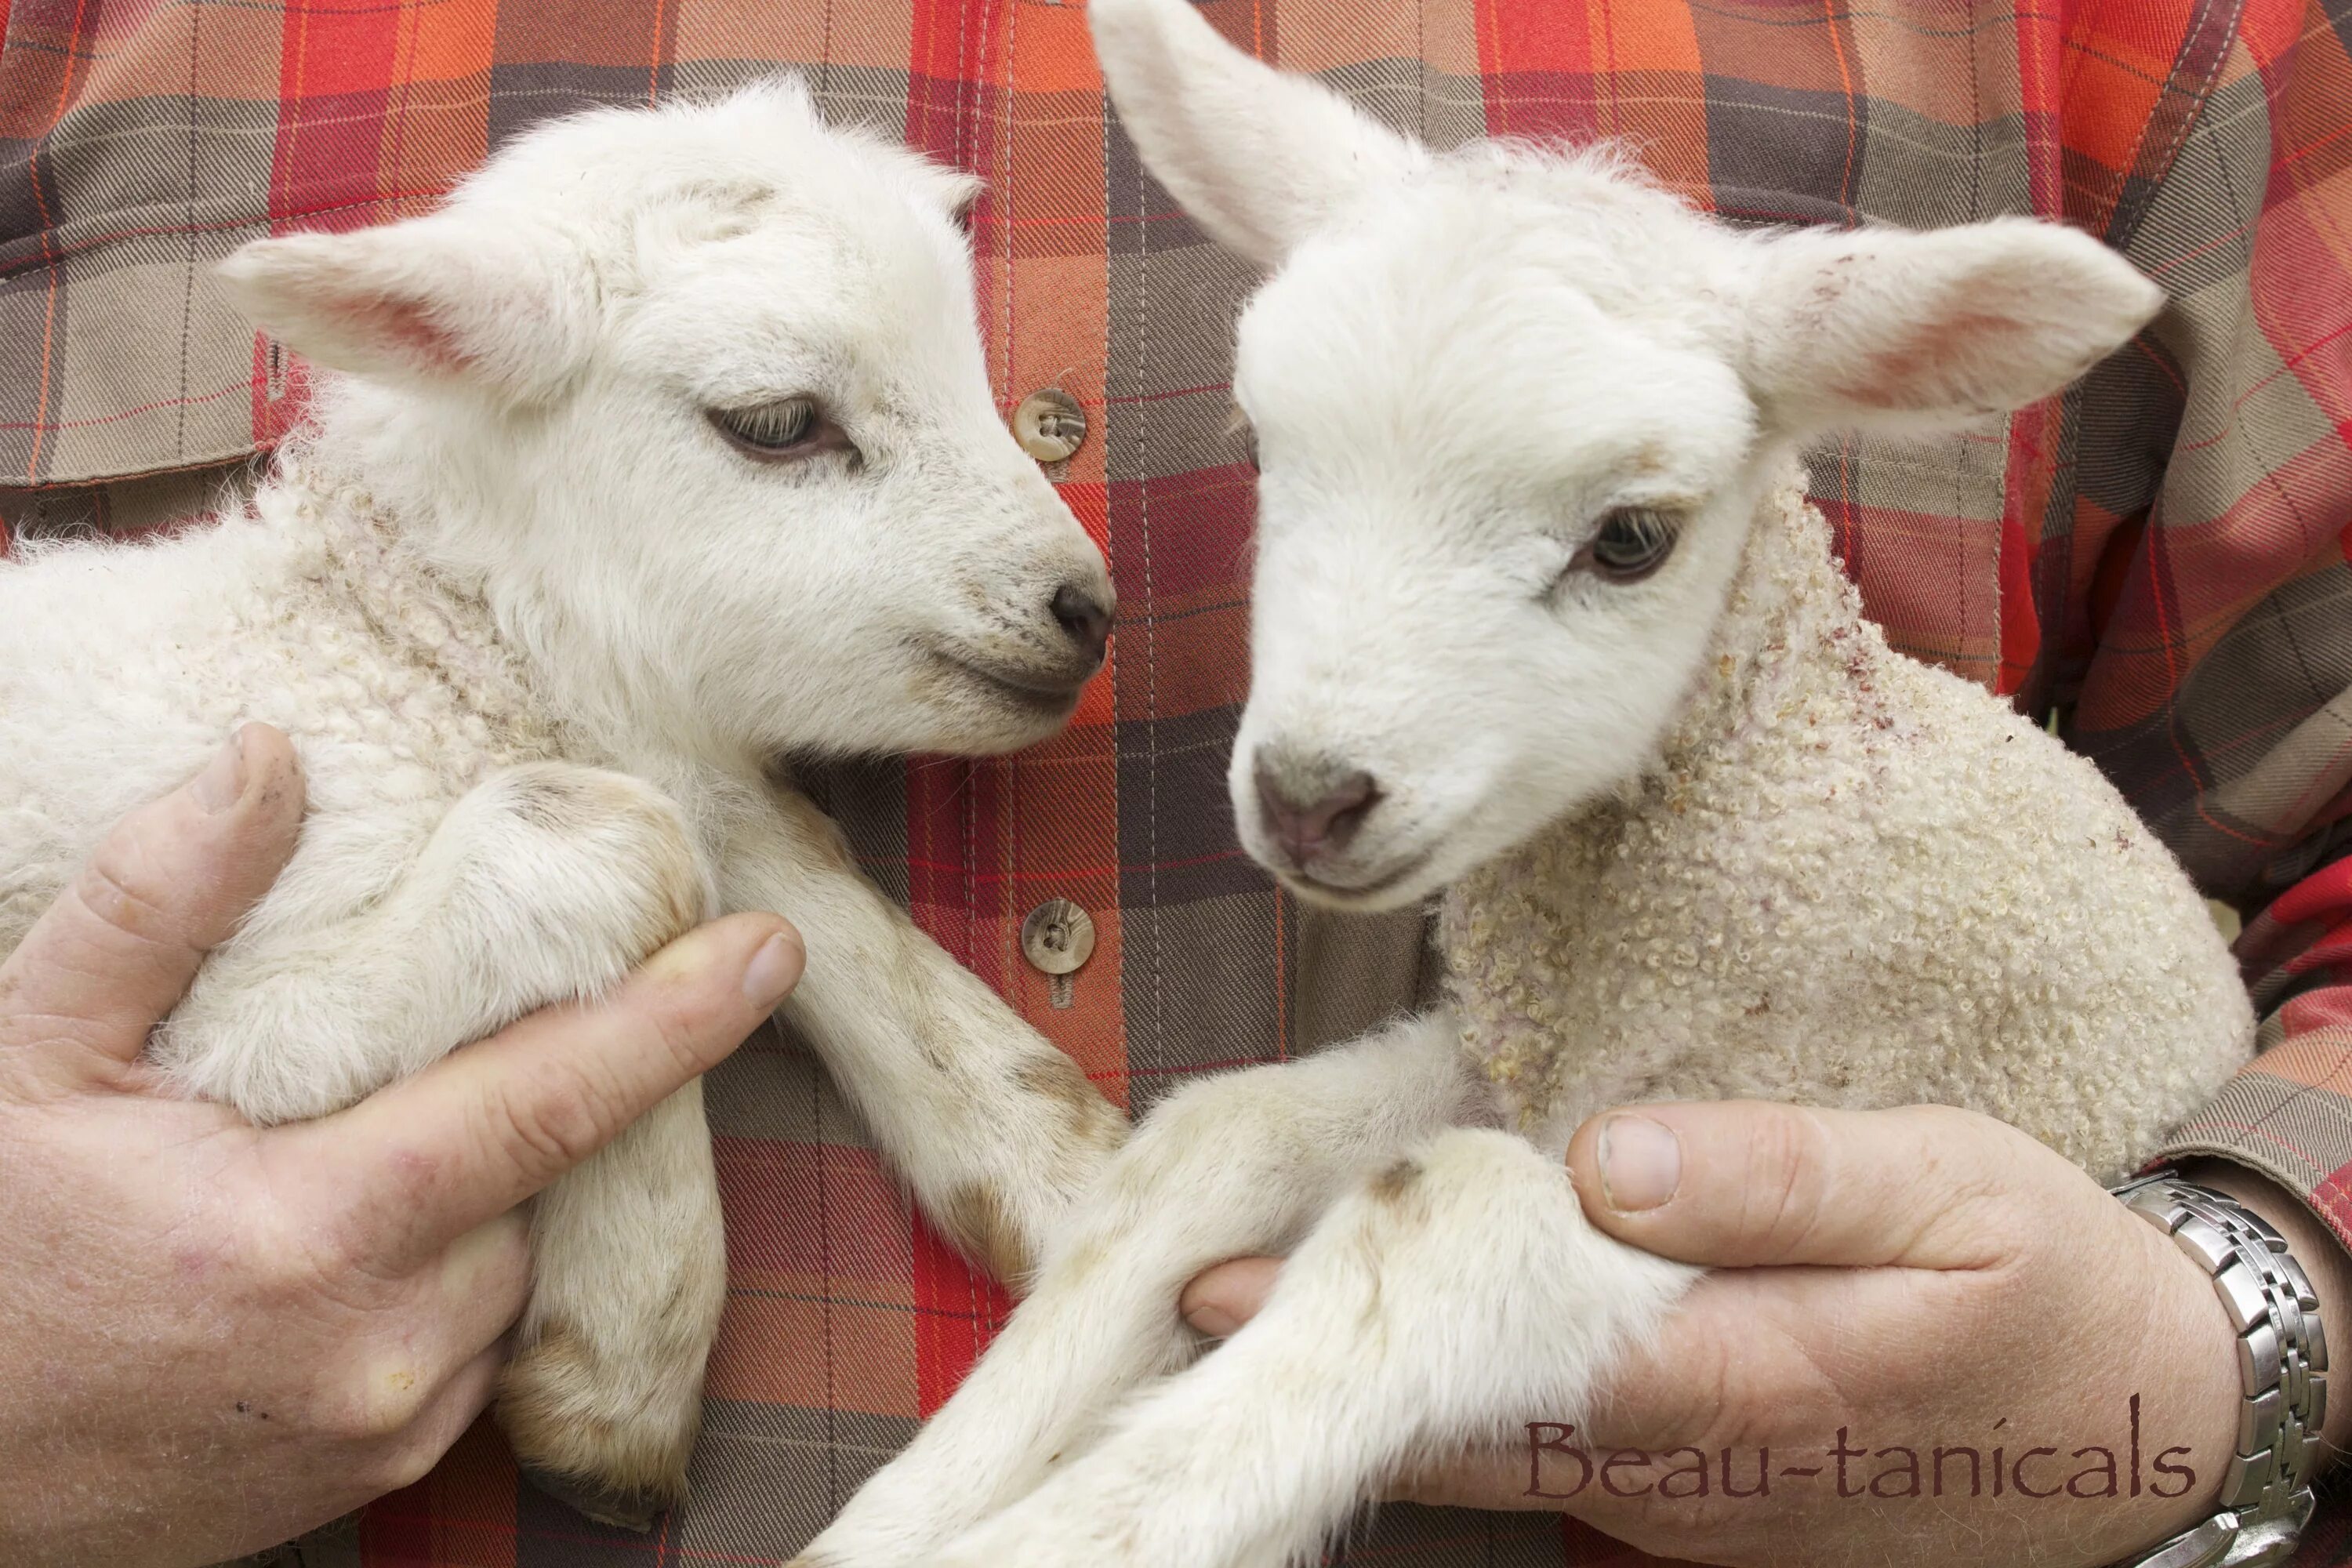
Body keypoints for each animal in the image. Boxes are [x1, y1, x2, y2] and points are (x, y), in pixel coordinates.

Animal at [0, 79, 1129, 1523]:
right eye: (777, 423)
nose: (1085, 611)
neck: (402, 666)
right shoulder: (211, 1039)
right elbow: (635, 853)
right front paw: (629, 1334)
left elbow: (794, 882)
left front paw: (1058, 1159)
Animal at [790, 2, 2258, 1568]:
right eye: (1260, 447)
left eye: (1631, 539)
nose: (1309, 795)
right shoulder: (1508, 1058)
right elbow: (1222, 1136)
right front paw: (911, 1513)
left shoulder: (1766, 1113)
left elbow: (1438, 1223)